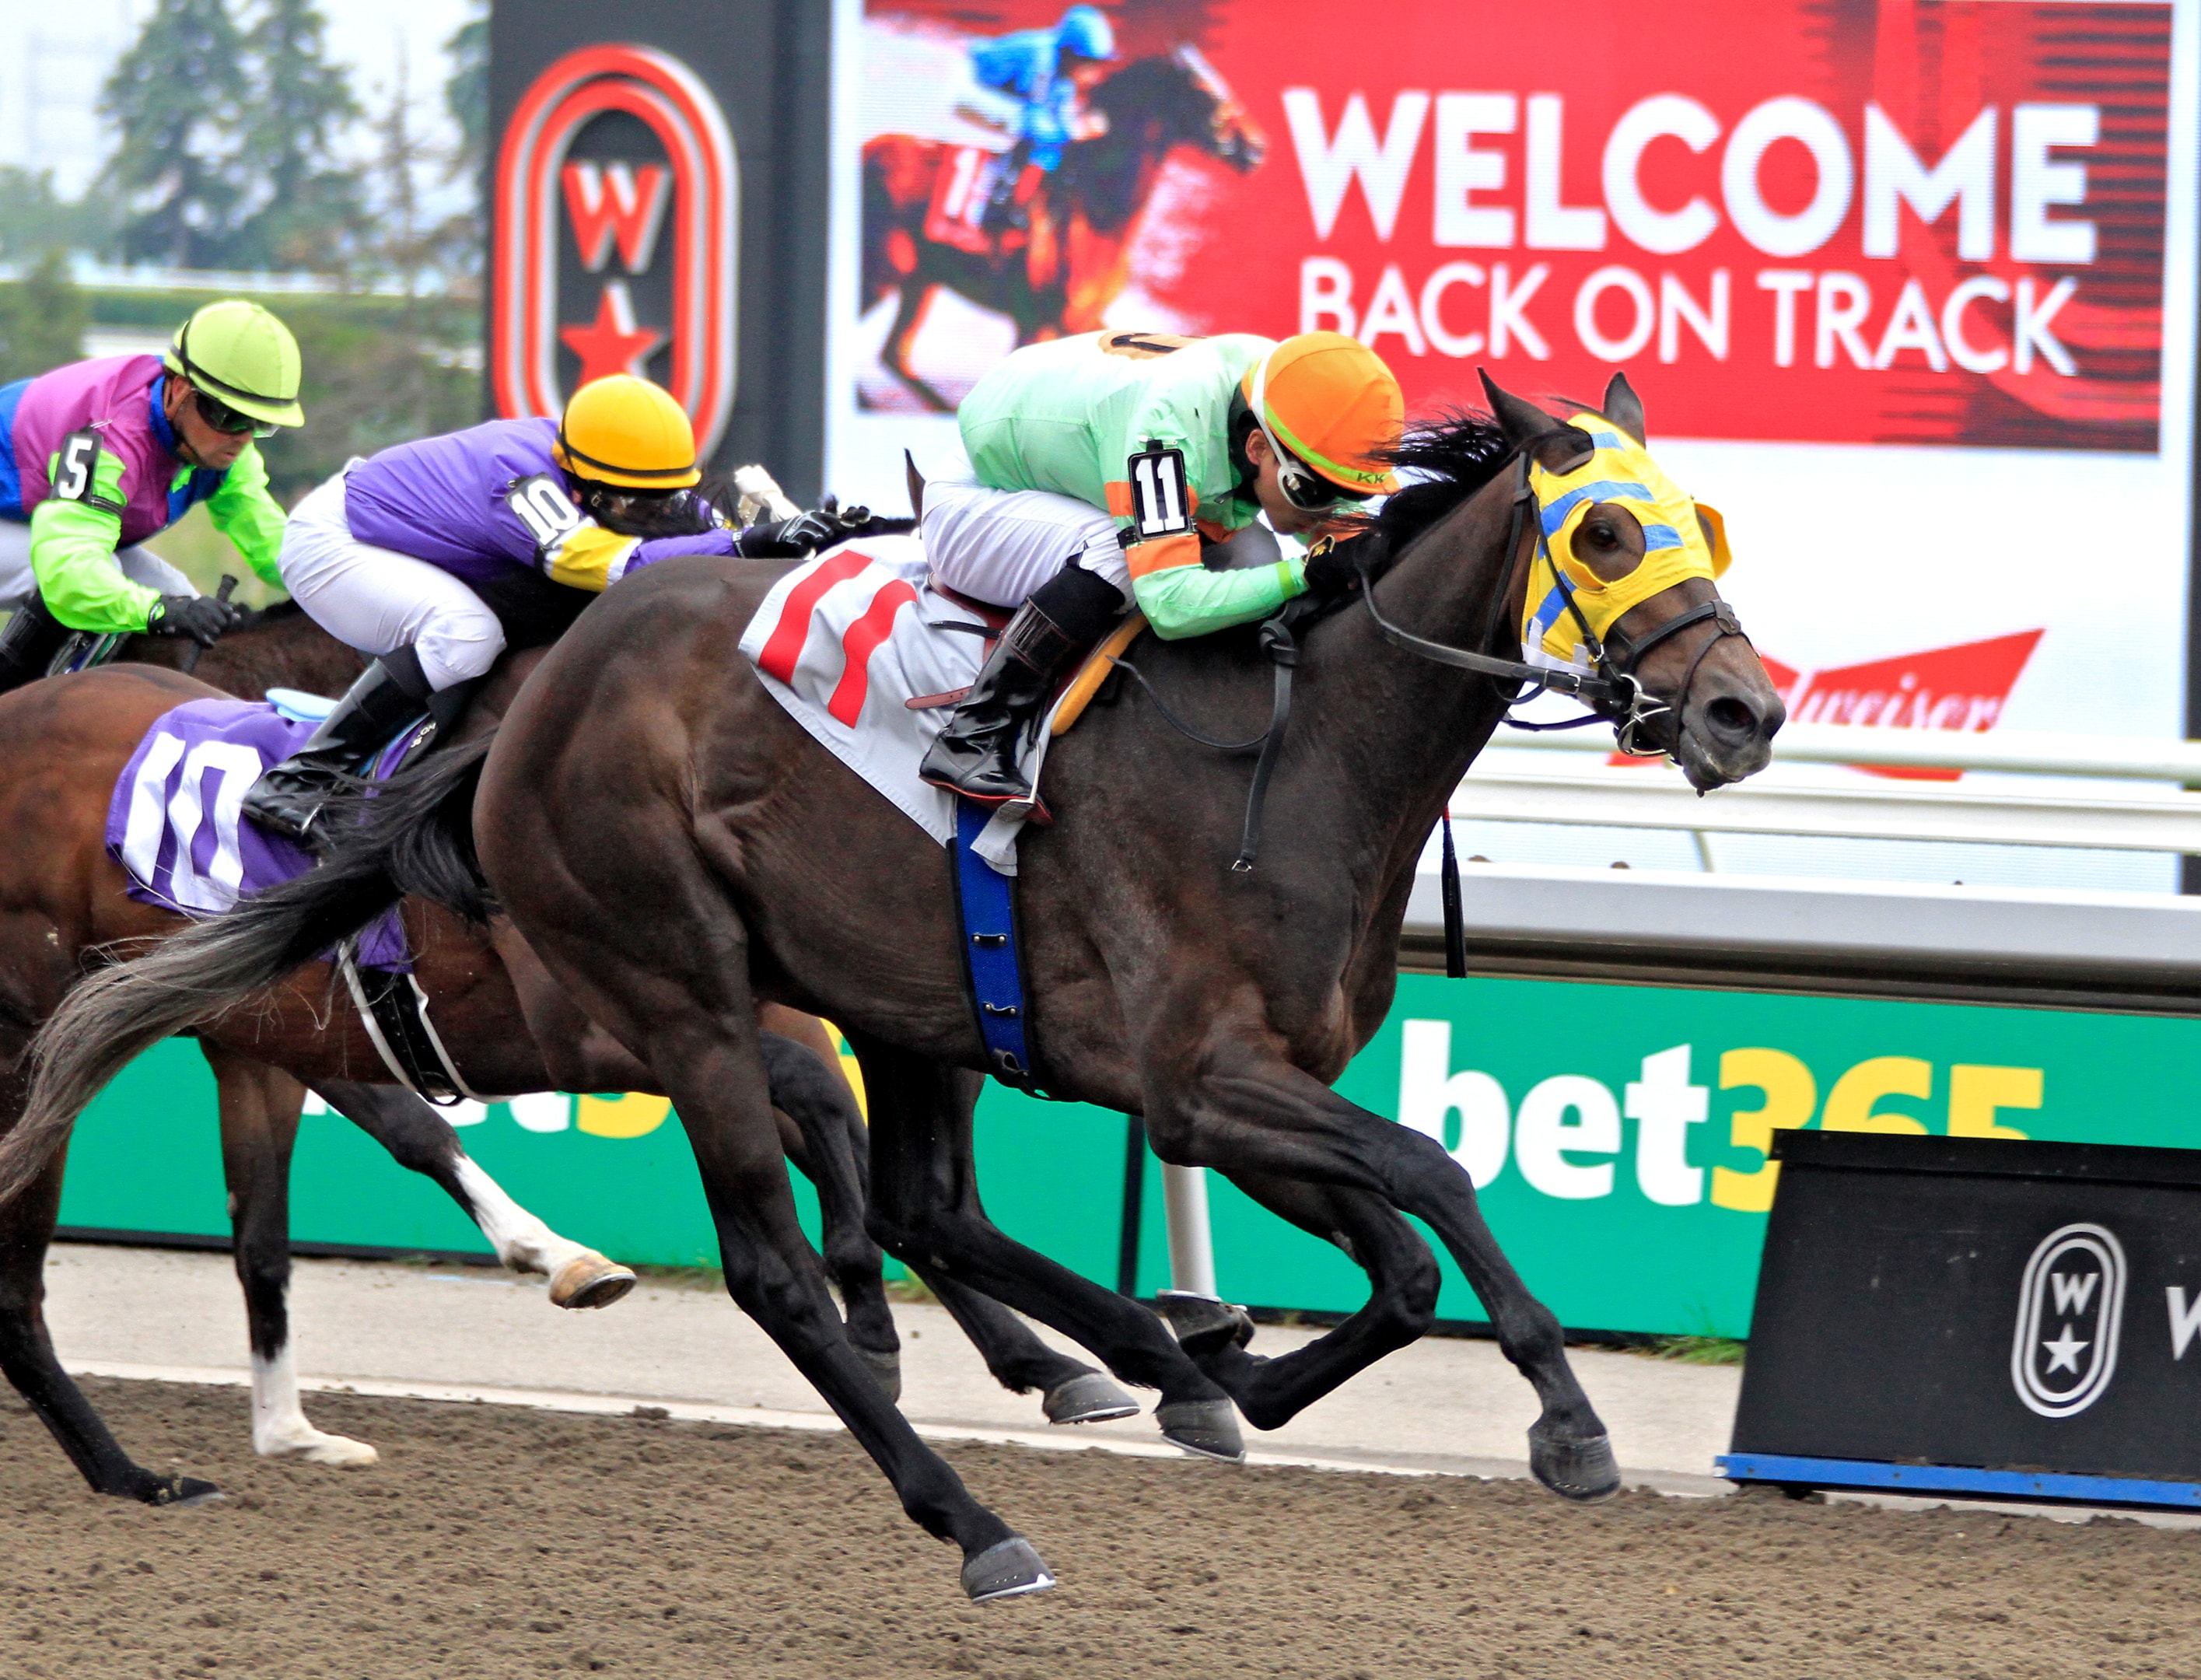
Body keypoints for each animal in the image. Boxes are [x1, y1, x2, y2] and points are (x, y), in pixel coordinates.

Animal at [4, 374, 1786, 1594]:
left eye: (1703, 522)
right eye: (1602, 529)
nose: (1743, 713)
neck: (1294, 756)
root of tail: (521, 718)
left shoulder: (1243, 1089)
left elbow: (1402, 1261)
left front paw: (1232, 1370)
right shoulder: (1197, 1082)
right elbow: (1436, 1174)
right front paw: (1563, 1417)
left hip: (906, 995)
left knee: (929, 1206)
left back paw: (1126, 1366)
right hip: (682, 995)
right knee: (776, 1269)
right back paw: (978, 1516)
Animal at [863, 47, 1276, 411]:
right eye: (1207, 95)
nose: (1256, 148)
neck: (1098, 211)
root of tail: (869, 147)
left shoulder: (1080, 318)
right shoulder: (1036, 321)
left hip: (920, 278)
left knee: (894, 354)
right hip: (883, 271)